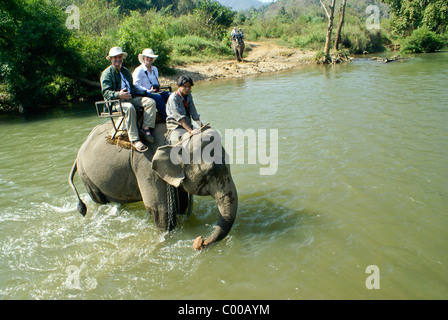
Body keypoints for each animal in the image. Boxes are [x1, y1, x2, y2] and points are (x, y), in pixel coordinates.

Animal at [68, 122, 238, 250]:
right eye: (209, 173)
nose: (200, 240)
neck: (176, 139)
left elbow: (181, 204)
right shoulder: (147, 166)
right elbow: (161, 210)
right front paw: (167, 236)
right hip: (87, 177)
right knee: (99, 199)